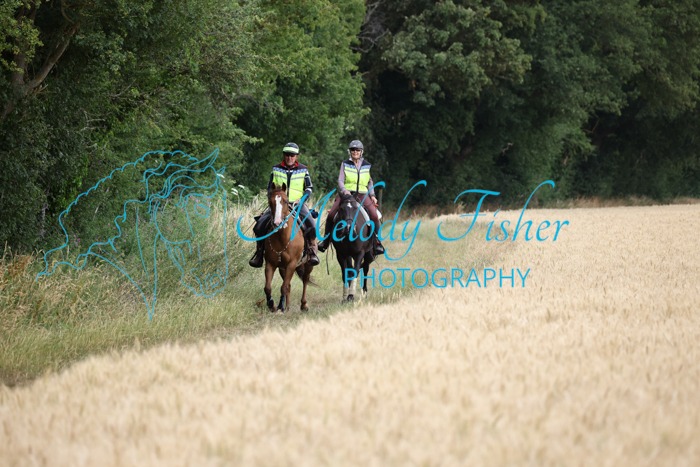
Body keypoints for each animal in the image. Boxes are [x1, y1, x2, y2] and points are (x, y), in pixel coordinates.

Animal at [263, 182, 314, 312]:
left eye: (285, 201)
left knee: (305, 280)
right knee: (289, 284)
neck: (283, 238)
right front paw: (272, 305)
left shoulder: (292, 263)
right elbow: (268, 287)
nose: (277, 223)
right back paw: (287, 305)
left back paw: (303, 305)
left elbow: (284, 287)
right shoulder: (271, 263)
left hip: (308, 264)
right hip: (282, 268)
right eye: (270, 202)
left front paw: (280, 307)